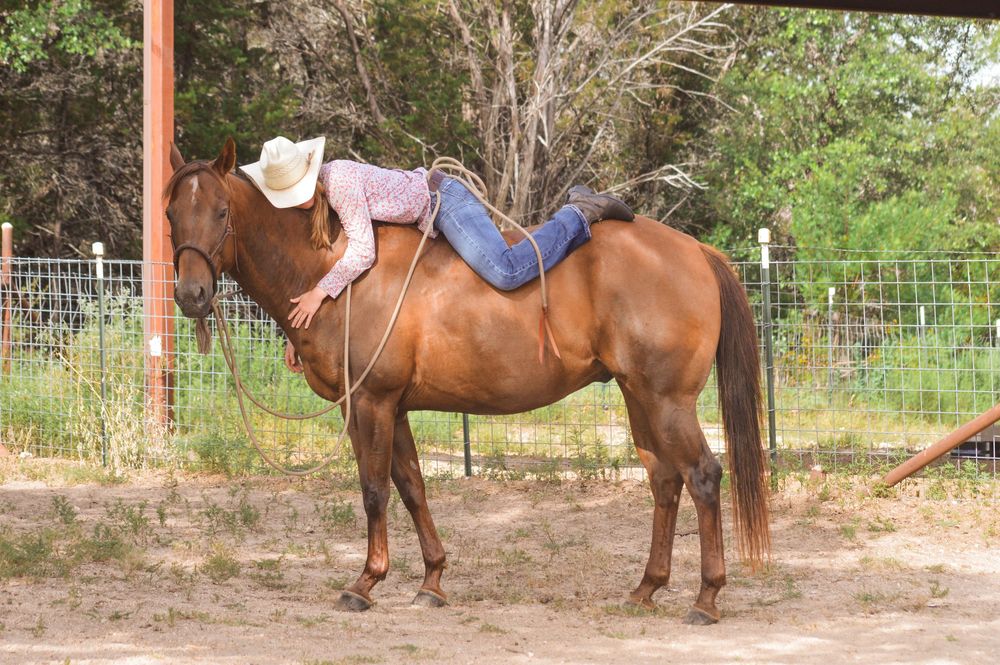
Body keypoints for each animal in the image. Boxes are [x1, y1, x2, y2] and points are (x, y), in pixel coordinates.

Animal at [164, 138, 770, 625]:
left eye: (221, 211)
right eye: (171, 213)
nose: (192, 295)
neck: (334, 273)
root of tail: (695, 251)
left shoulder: (370, 403)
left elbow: (374, 490)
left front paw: (365, 583)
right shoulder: (393, 407)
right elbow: (411, 486)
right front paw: (431, 581)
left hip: (667, 402)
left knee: (703, 477)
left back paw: (706, 598)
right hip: (638, 398)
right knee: (665, 482)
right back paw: (646, 589)